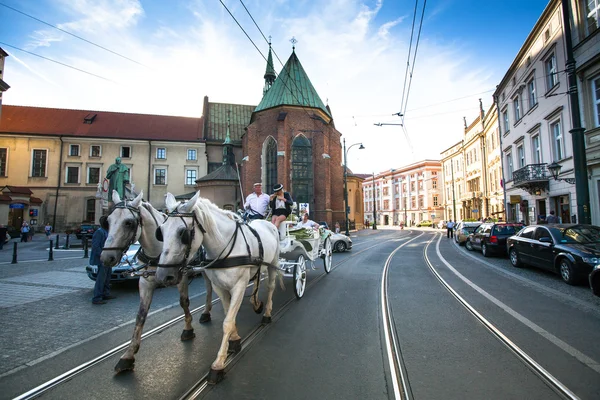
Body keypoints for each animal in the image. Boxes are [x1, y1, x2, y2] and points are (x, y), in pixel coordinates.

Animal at [101, 190, 216, 372]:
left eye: (128, 223)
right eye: (108, 221)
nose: (106, 257)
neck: (158, 251)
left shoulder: (181, 277)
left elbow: (184, 302)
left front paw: (188, 329)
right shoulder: (145, 283)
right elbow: (141, 314)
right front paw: (128, 354)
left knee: (209, 287)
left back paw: (206, 312)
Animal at [154, 191, 278, 384]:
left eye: (183, 233)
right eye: (161, 231)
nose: (162, 276)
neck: (225, 247)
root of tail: (267, 222)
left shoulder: (239, 286)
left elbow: (227, 322)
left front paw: (219, 363)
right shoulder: (220, 287)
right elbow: (228, 315)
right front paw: (234, 339)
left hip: (274, 264)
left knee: (271, 287)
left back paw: (266, 314)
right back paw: (256, 302)